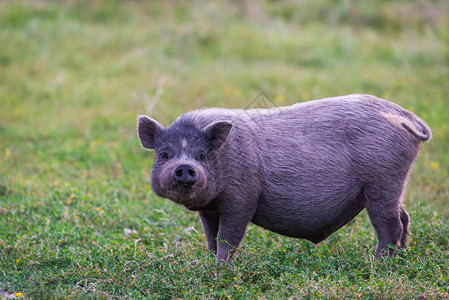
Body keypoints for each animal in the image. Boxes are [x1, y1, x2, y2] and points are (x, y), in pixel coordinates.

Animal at [137, 94, 430, 262]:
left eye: (201, 154)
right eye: (164, 154)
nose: (185, 167)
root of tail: (406, 117)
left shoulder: (242, 199)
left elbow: (228, 237)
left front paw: (221, 268)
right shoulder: (209, 209)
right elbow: (211, 237)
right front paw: (209, 264)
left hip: (382, 182)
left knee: (390, 225)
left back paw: (379, 264)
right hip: (392, 185)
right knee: (404, 217)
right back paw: (402, 257)